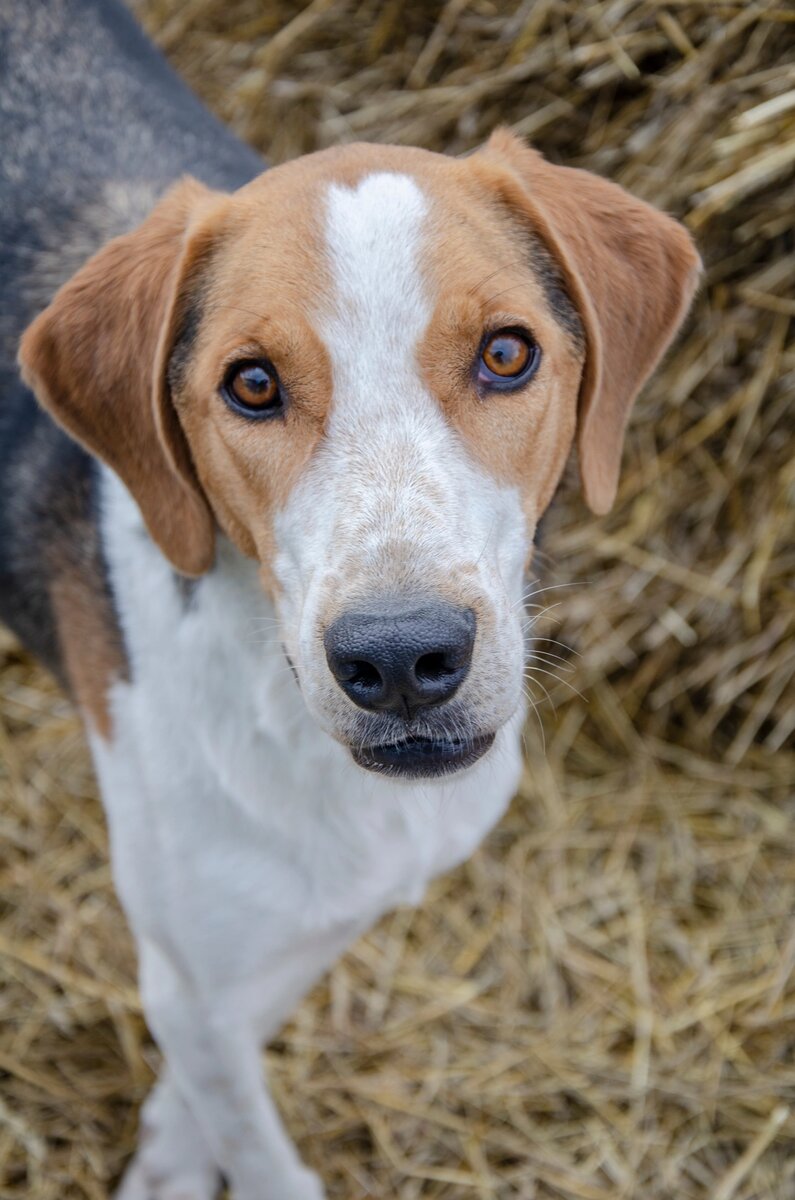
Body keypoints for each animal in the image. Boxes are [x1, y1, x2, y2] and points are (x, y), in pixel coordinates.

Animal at [0, 2, 701, 1200]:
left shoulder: (269, 952)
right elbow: (250, 1133)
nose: (402, 659)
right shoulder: (200, 975)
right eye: (250, 384)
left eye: (506, 353)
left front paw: (165, 1148)